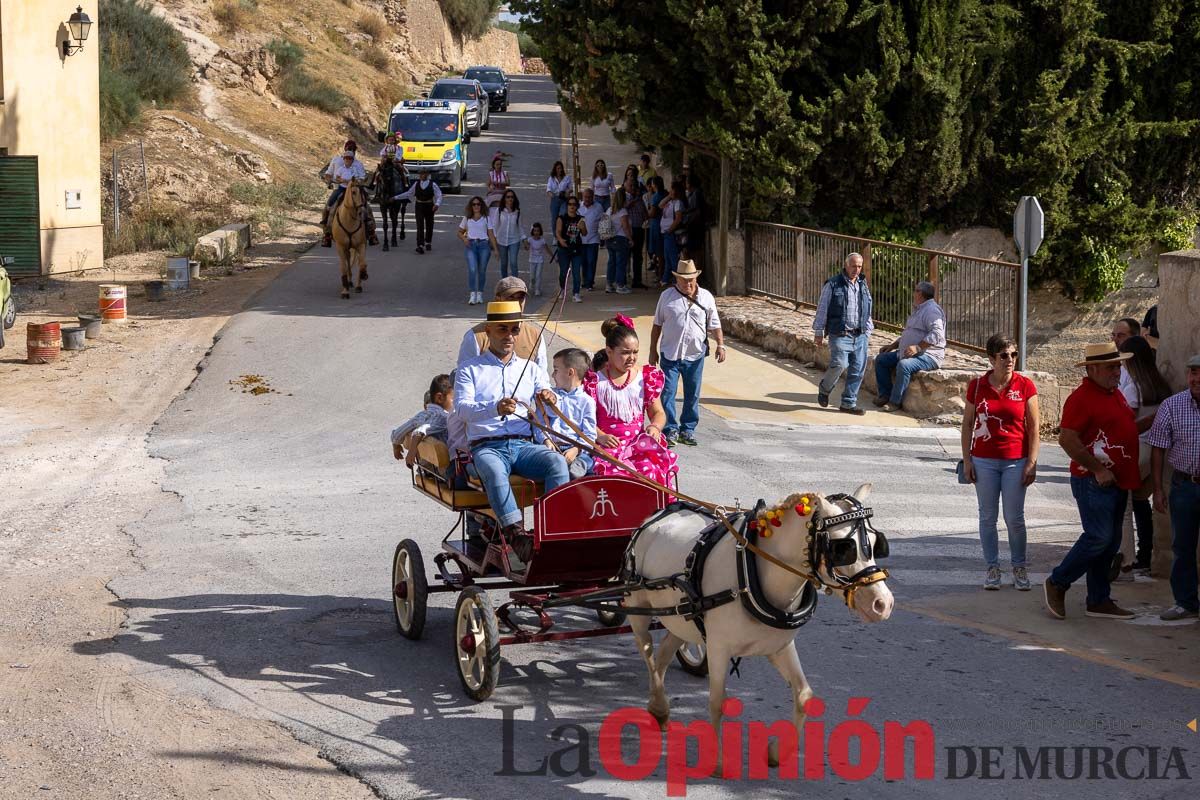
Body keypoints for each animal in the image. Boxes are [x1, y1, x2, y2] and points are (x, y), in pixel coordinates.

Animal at [628, 482, 892, 767]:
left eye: (876, 544)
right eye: (843, 549)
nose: (883, 603)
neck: (750, 573)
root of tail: (656, 516)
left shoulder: (779, 647)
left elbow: (804, 696)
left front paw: (778, 751)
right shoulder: (718, 647)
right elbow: (717, 702)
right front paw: (718, 761)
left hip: (681, 618)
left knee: (664, 654)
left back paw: (659, 707)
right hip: (637, 608)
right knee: (648, 652)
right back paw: (658, 703)